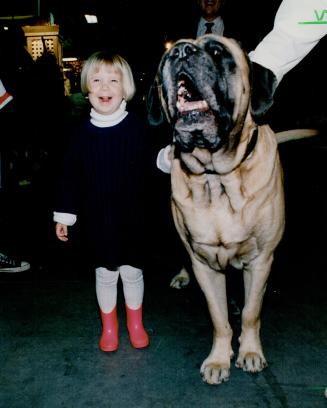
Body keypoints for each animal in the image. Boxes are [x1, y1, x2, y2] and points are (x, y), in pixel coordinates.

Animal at [147, 35, 286, 386]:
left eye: (217, 51)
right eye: (166, 57)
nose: (181, 51)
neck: (215, 176)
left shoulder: (260, 260)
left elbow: (251, 313)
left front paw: (250, 352)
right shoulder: (204, 264)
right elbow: (218, 317)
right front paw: (219, 359)